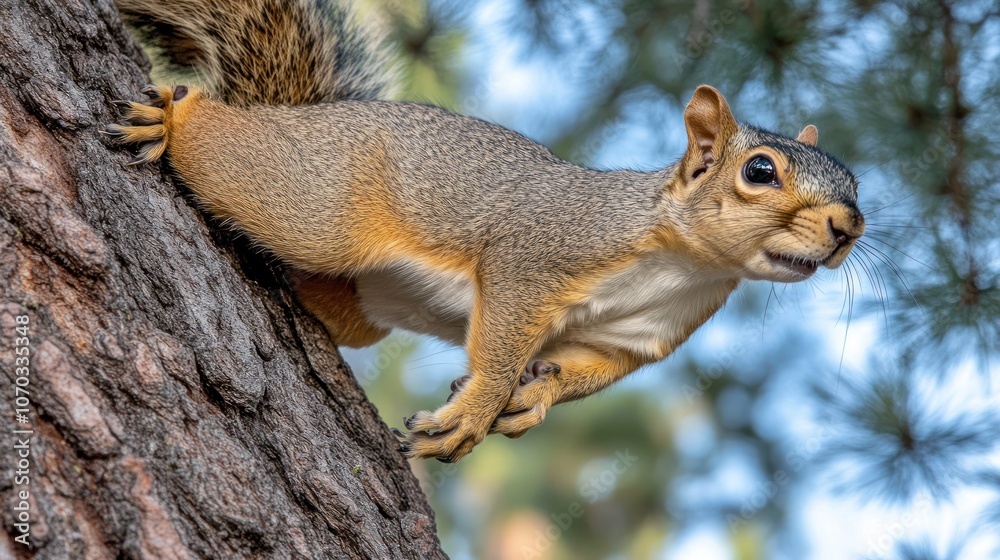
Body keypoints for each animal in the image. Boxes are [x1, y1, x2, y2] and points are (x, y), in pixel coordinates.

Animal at [106, 0, 865, 463]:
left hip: (357, 300)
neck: (685, 263)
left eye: (857, 186)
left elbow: (579, 371)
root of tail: (294, 117)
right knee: (246, 165)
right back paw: (178, 119)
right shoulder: (538, 252)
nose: (848, 228)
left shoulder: (638, 338)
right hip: (321, 204)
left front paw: (534, 399)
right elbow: (500, 342)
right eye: (760, 170)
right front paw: (477, 408)